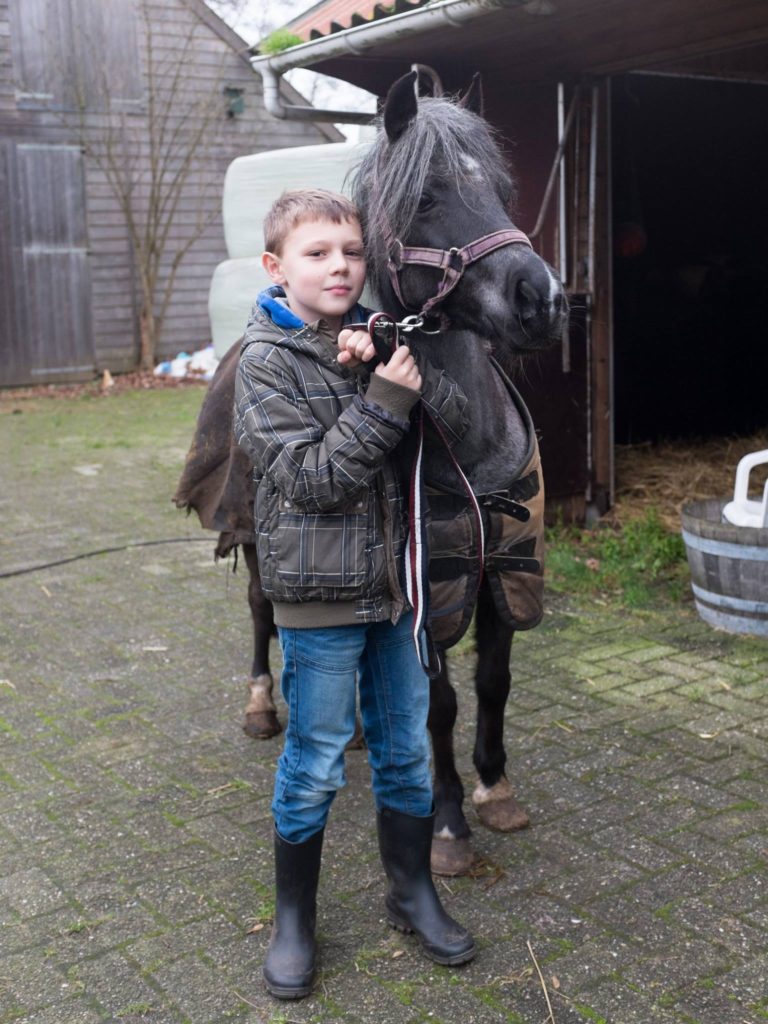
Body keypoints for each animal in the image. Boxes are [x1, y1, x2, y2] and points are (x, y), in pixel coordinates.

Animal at [174, 71, 567, 876]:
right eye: (428, 197)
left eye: (503, 189)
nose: (542, 300)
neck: (466, 446)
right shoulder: (430, 589)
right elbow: (439, 706)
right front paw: (448, 824)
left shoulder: (501, 570)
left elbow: (494, 683)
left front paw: (496, 787)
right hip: (256, 540)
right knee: (263, 613)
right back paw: (262, 704)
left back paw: (355, 730)